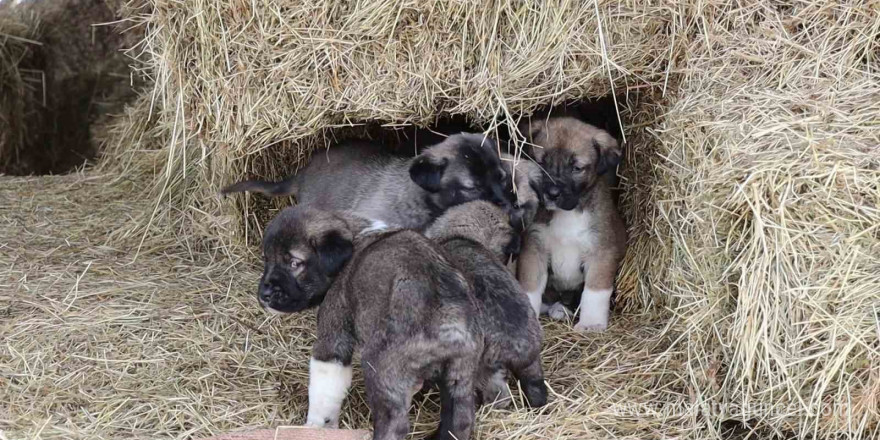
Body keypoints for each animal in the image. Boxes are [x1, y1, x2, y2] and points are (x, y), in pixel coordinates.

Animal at [256, 205, 482, 440]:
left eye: (294, 263)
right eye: (266, 259)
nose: (264, 295)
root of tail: (450, 324)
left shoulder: (334, 331)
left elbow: (324, 388)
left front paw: (315, 427)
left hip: (382, 370)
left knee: (393, 423)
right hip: (460, 375)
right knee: (460, 420)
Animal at [512, 117, 628, 330]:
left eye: (576, 168)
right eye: (541, 163)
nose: (552, 194)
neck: (567, 214)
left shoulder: (602, 251)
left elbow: (595, 292)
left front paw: (591, 324)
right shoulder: (534, 248)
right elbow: (530, 285)